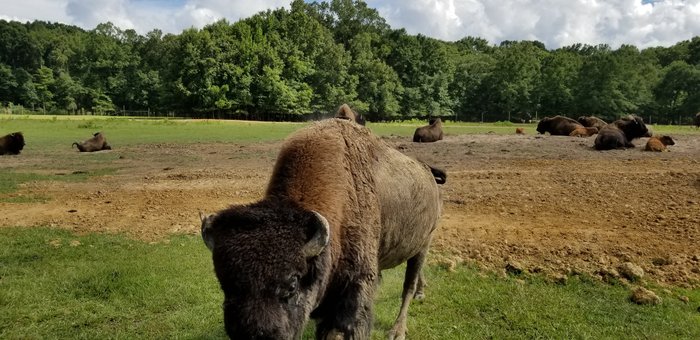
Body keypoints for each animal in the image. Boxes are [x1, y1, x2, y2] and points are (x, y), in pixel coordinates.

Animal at [201, 119, 442, 340]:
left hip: (423, 244)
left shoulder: (355, 288)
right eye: (224, 284)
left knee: (408, 285)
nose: (257, 334)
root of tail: (428, 173)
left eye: (292, 285)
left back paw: (398, 330)